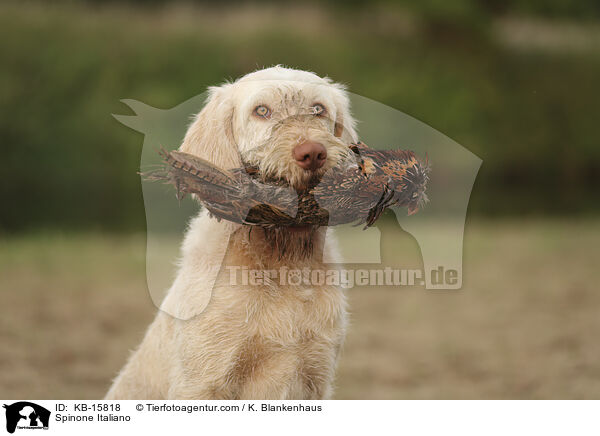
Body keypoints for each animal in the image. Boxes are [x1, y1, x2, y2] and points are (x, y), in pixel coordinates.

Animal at [105, 65, 358, 398]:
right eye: (261, 110)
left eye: (319, 109)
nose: (312, 153)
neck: (282, 260)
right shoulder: (203, 383)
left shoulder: (315, 375)